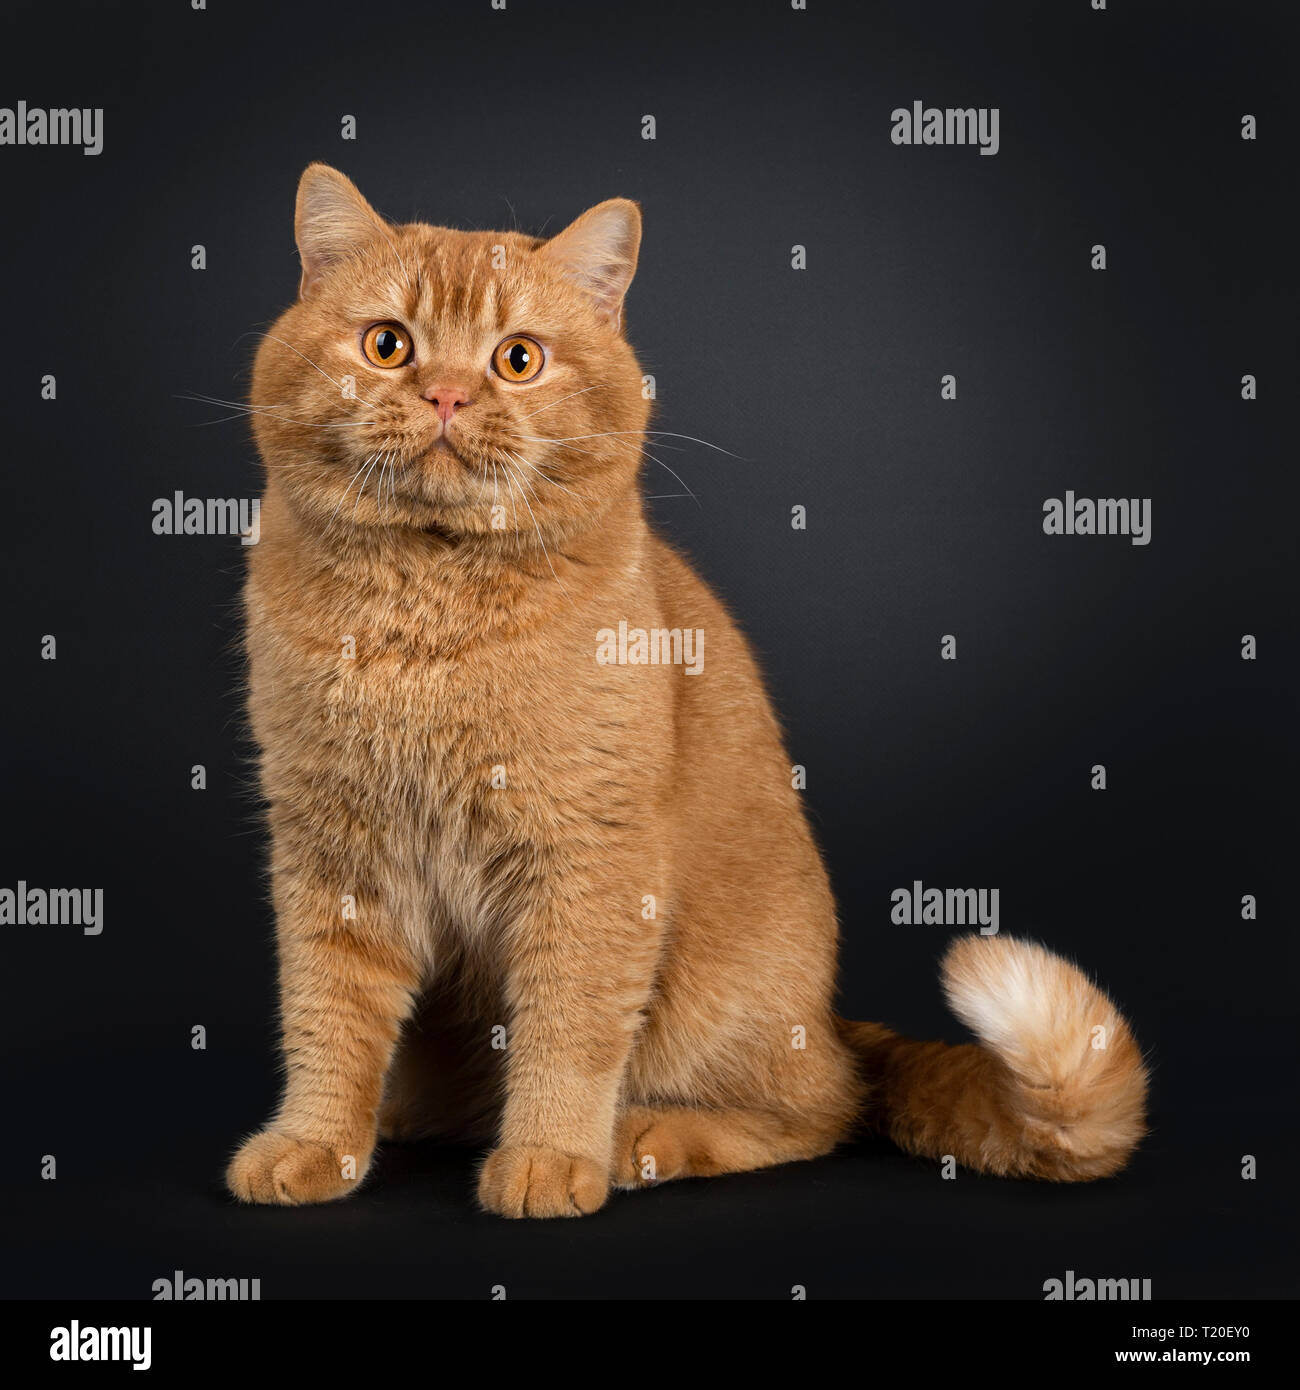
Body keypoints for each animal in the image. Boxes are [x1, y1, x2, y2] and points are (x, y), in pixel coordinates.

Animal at [226, 168, 1151, 1217]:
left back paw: (642, 1138)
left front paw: (549, 1159)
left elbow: (567, 1030)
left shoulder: (589, 859)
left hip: (715, 1002)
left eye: (518, 359)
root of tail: (836, 1022)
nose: (449, 393)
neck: (429, 619)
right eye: (388, 344)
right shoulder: (330, 853)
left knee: (817, 1111)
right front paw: (315, 1144)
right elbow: (327, 1020)